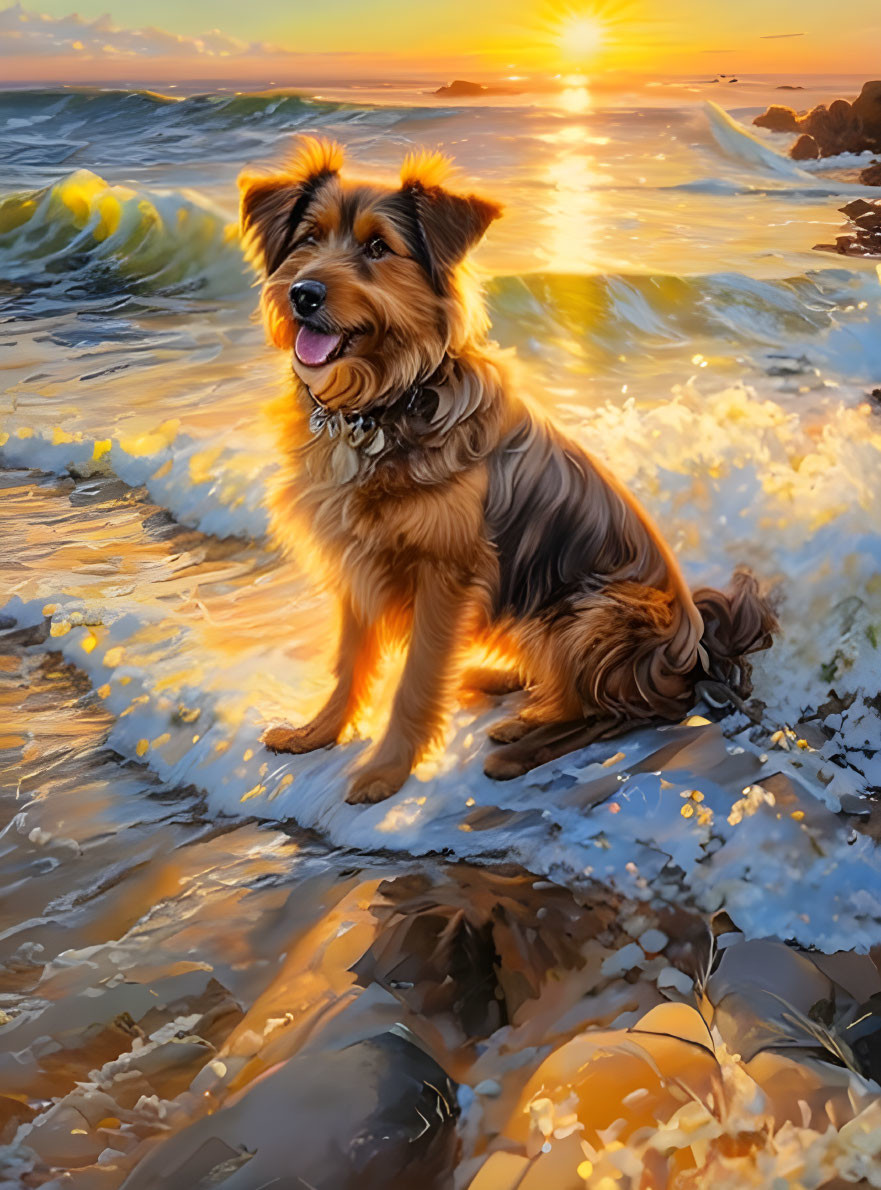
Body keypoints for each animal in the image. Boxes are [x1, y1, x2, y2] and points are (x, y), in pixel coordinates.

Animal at [236, 136, 776, 809]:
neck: (385, 404)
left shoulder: (446, 573)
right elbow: (349, 662)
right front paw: (319, 733)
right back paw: (512, 694)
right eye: (308, 238)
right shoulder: (357, 563)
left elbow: (416, 681)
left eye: (379, 247)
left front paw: (387, 771)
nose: (303, 294)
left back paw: (521, 748)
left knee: (627, 713)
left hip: (597, 608)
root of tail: (695, 650)